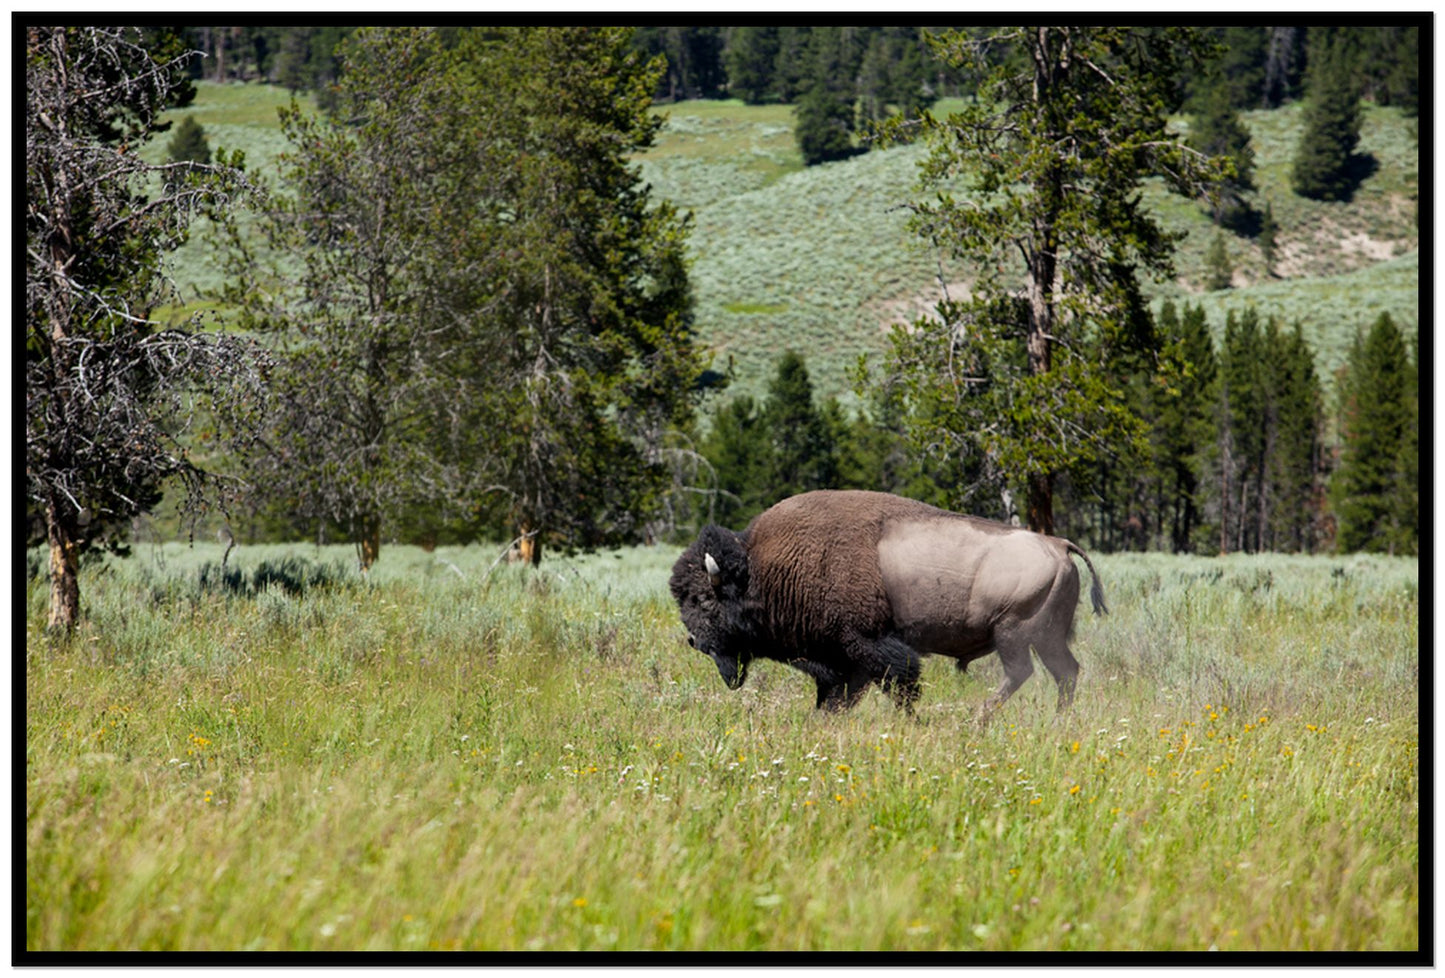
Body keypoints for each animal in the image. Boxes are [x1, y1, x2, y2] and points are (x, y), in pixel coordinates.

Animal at [669, 490, 1107, 717]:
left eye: (704, 600)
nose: (693, 641)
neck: (762, 568)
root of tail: (1058, 544)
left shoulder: (868, 646)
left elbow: (900, 684)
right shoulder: (842, 661)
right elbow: (837, 698)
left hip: (1013, 633)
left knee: (1022, 673)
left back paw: (978, 719)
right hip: (1046, 637)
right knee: (1065, 672)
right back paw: (1056, 720)